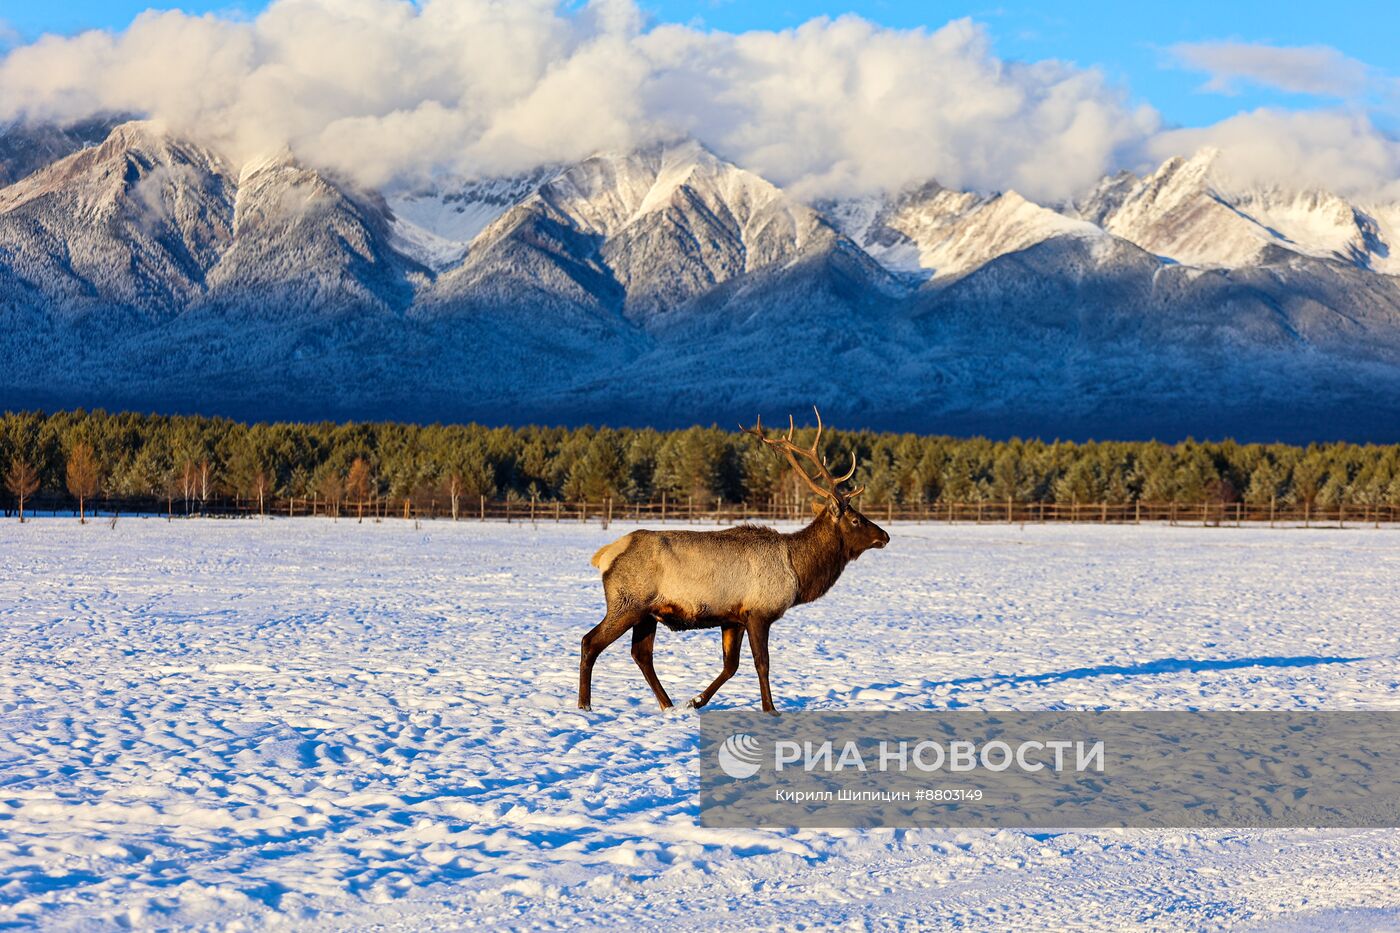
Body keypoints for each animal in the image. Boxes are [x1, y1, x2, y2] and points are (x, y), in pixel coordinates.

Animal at [576, 406, 884, 711]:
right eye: (856, 520)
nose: (885, 535)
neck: (797, 572)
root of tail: (604, 556)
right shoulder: (758, 612)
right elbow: (762, 663)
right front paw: (770, 709)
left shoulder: (733, 618)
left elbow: (730, 666)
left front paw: (696, 700)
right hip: (627, 603)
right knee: (590, 641)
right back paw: (585, 705)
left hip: (647, 614)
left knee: (641, 654)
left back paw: (668, 705)